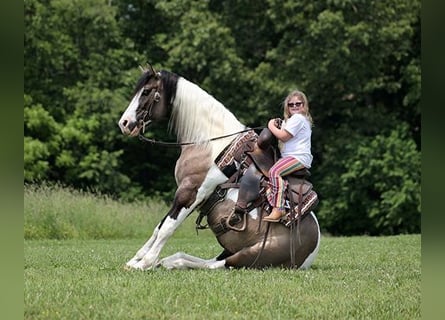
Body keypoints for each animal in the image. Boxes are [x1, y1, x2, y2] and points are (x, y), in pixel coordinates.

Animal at [118, 65, 320, 270]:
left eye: (146, 91)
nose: (124, 123)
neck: (208, 144)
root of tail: (313, 248)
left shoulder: (191, 192)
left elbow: (167, 228)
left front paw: (143, 263)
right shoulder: (188, 195)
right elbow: (159, 226)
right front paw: (135, 260)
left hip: (246, 257)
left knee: (214, 265)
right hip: (230, 250)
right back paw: (170, 261)